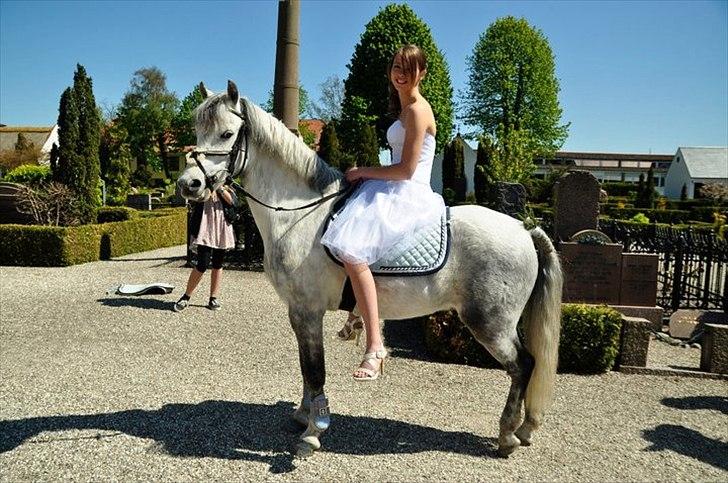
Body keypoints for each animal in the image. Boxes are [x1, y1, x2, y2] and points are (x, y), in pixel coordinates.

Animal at [176, 81, 564, 460]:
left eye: (227, 133)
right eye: (197, 131)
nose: (188, 184)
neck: (299, 213)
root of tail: (524, 230)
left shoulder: (308, 309)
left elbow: (315, 369)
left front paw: (314, 432)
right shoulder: (297, 311)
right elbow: (305, 367)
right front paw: (303, 414)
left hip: (490, 323)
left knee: (523, 365)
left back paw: (508, 434)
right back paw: (525, 428)